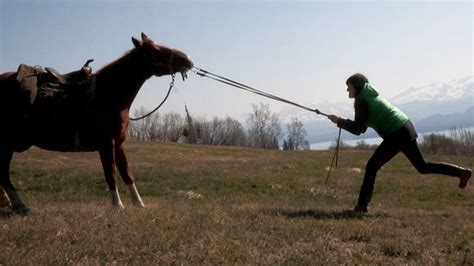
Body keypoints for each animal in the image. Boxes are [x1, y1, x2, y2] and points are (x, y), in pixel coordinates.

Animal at [0, 32, 194, 216]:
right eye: (155, 50)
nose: (188, 59)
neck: (107, 94)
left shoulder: (118, 144)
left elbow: (127, 173)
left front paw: (138, 203)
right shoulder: (106, 144)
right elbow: (111, 173)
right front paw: (117, 205)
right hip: (7, 146)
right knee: (4, 175)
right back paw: (20, 205)